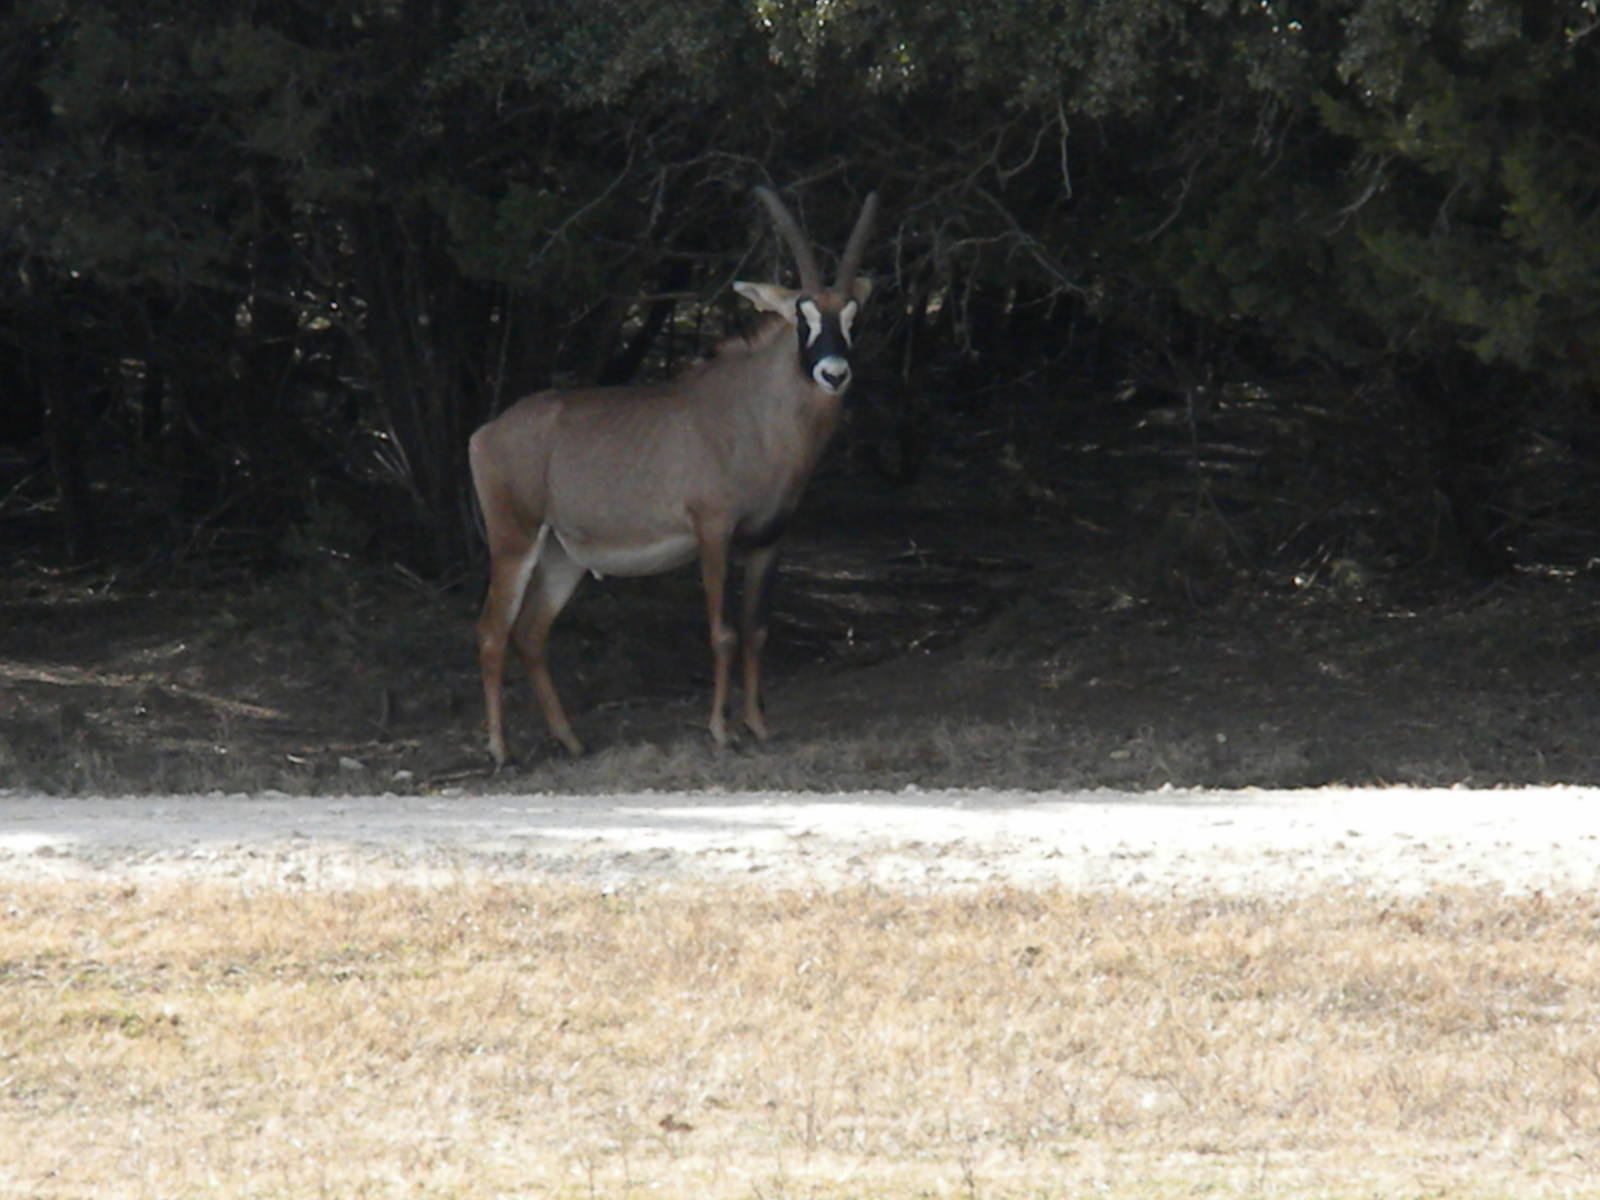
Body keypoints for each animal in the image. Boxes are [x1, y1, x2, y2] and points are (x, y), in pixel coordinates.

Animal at [469, 186, 879, 765]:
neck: (756, 411)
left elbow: (757, 631)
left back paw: (571, 740)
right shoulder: (714, 532)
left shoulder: (769, 540)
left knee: (529, 634)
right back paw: (501, 750)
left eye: (852, 316)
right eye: (803, 316)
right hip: (515, 540)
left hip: (562, 556)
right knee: (492, 631)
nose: (834, 373)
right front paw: (721, 731)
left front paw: (759, 725)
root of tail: (486, 433)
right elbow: (723, 632)